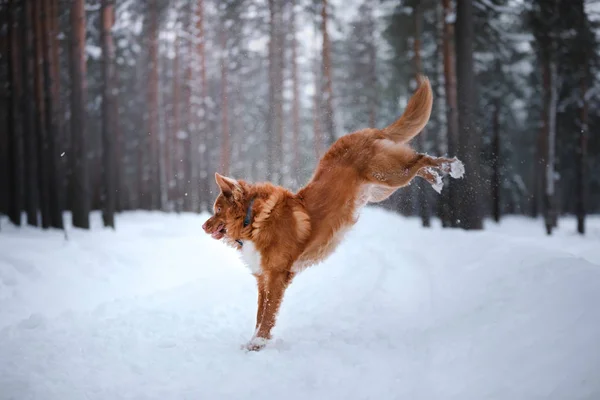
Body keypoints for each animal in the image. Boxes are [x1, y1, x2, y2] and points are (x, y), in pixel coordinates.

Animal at [202, 76, 464, 350]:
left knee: (421, 158)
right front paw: (254, 341)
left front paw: (258, 344)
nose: (203, 226)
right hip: (383, 188)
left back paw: (452, 168)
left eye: (217, 210)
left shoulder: (276, 276)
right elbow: (259, 314)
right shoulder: (263, 279)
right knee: (418, 164)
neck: (254, 219)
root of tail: (365, 132)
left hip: (389, 174)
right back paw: (437, 178)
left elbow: (267, 315)